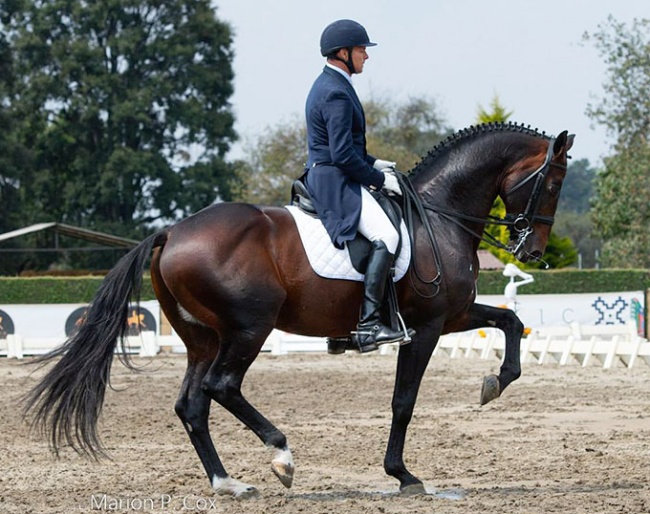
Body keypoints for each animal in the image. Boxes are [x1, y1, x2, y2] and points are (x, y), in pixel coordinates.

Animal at [24, 121, 572, 496]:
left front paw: (495, 382)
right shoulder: (428, 326)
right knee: (222, 387)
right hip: (249, 329)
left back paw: (227, 484)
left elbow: (512, 320)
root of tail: (172, 231)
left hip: (203, 337)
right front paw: (403, 475)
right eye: (552, 183)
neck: (438, 216)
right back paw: (282, 456)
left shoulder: (453, 316)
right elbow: (404, 401)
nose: (532, 251)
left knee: (192, 404)